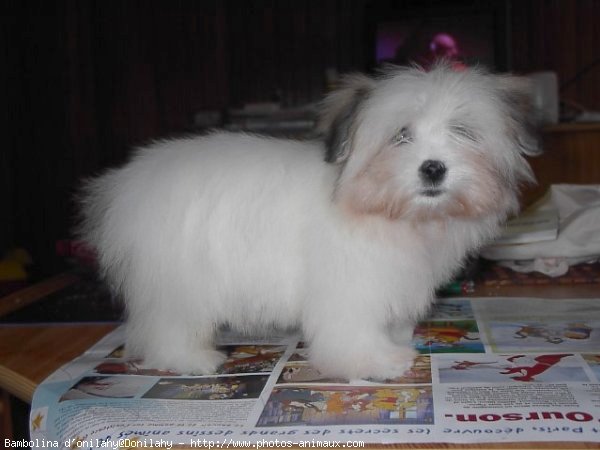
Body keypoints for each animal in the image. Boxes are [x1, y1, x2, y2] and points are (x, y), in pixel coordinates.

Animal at [78, 63, 540, 380]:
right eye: (400, 135)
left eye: (463, 132)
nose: (433, 168)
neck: (379, 209)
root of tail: (128, 184)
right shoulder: (350, 286)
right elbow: (352, 330)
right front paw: (379, 361)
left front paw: (395, 342)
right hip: (181, 279)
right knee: (169, 326)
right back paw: (194, 360)